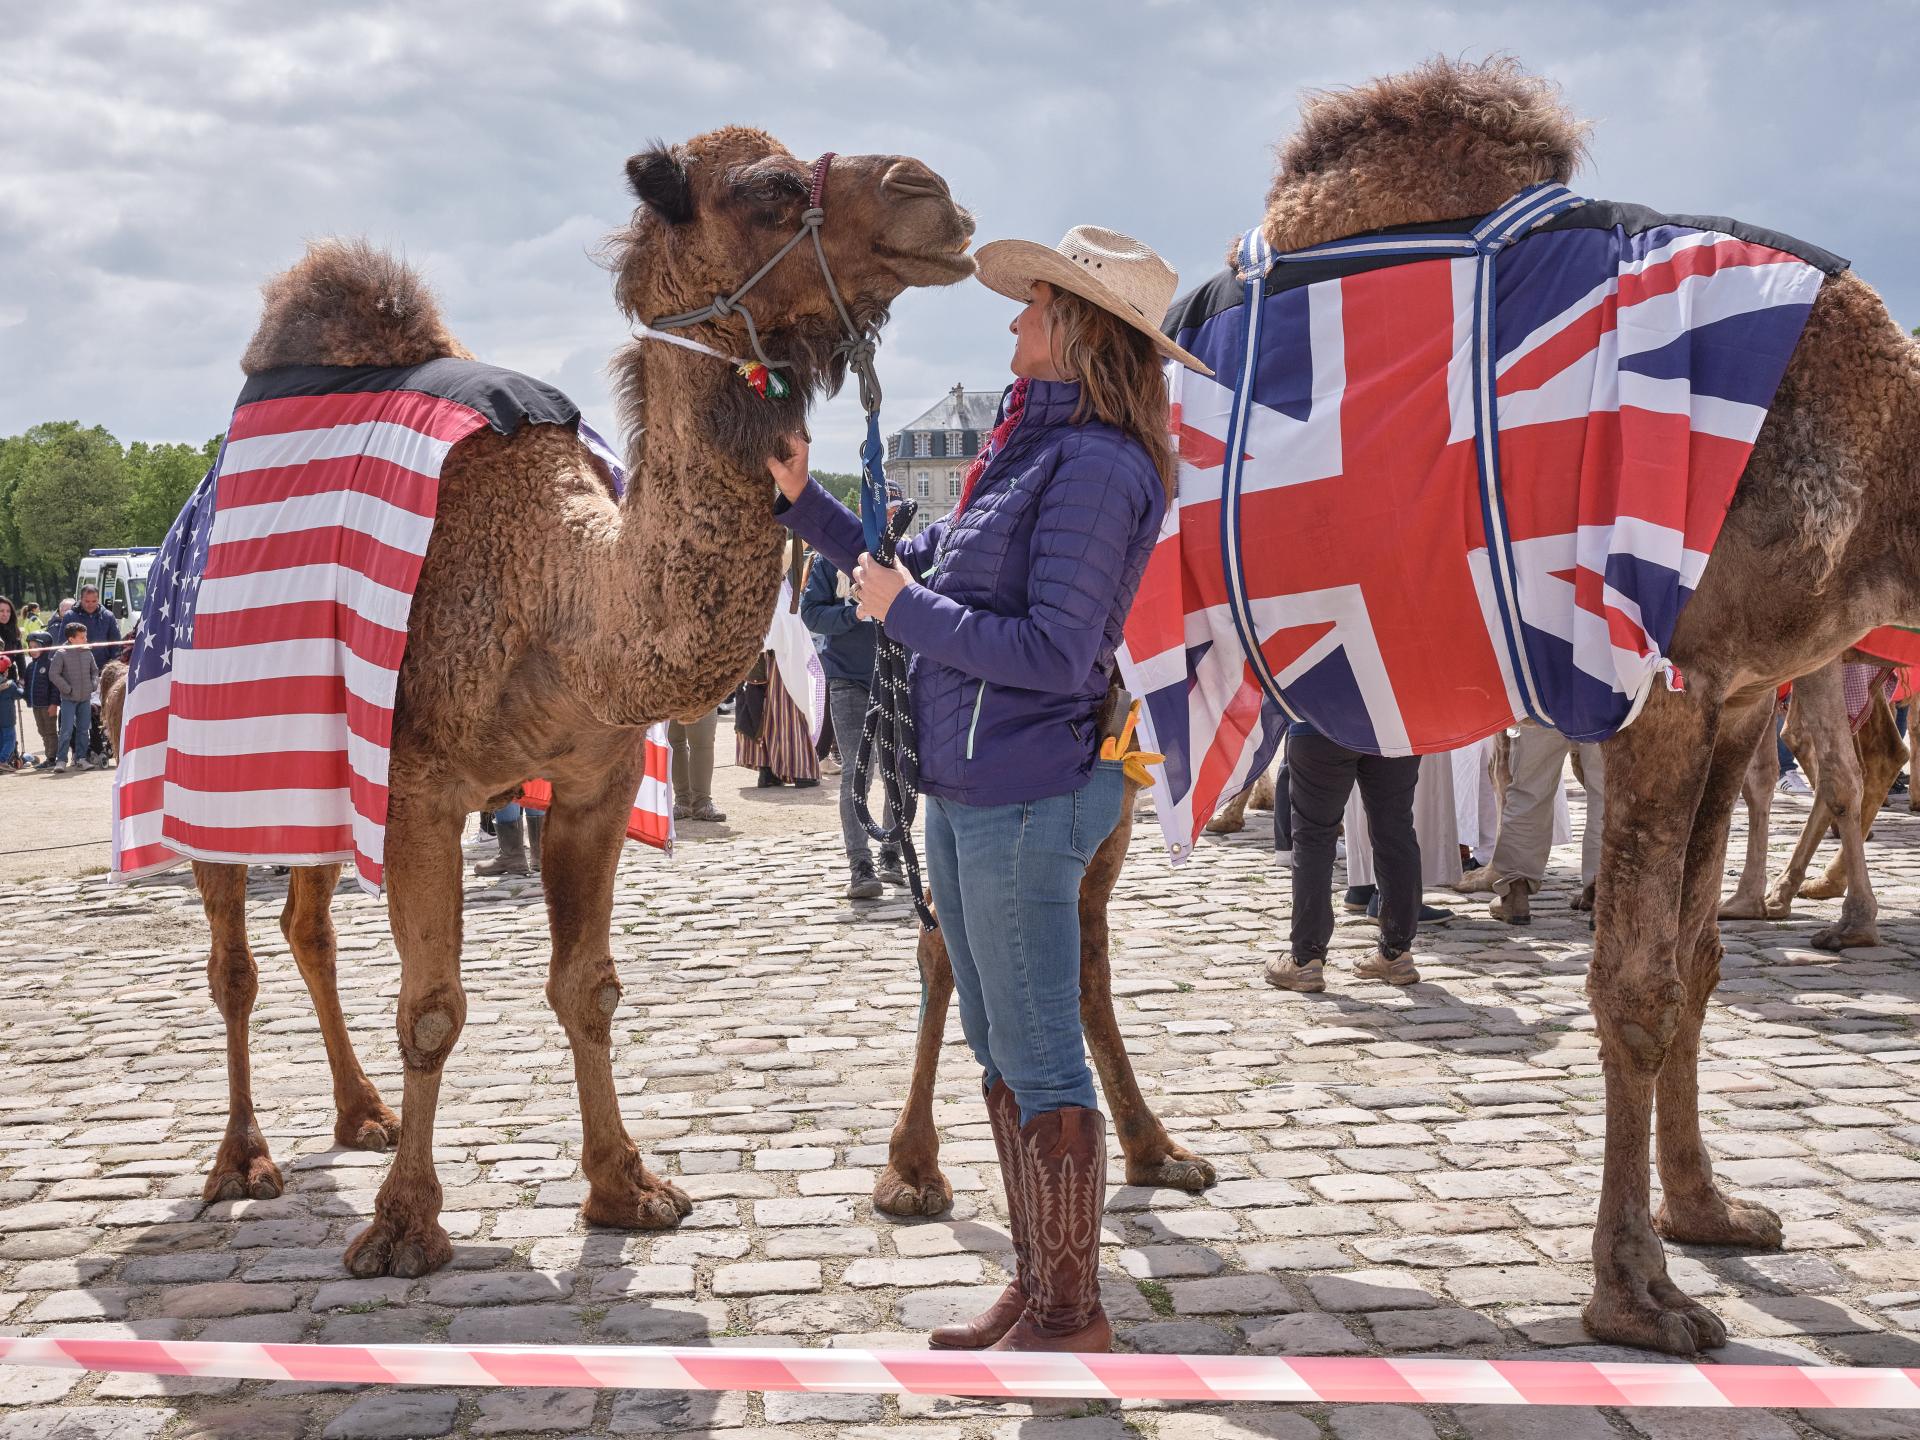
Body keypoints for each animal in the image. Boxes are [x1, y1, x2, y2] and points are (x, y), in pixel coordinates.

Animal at [1121, 56, 1920, 1359]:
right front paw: (1638, 1295)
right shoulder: (1659, 687)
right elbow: (1638, 985)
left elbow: (1699, 961)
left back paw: (1143, 1158)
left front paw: (1710, 1211)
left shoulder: (1743, 689)